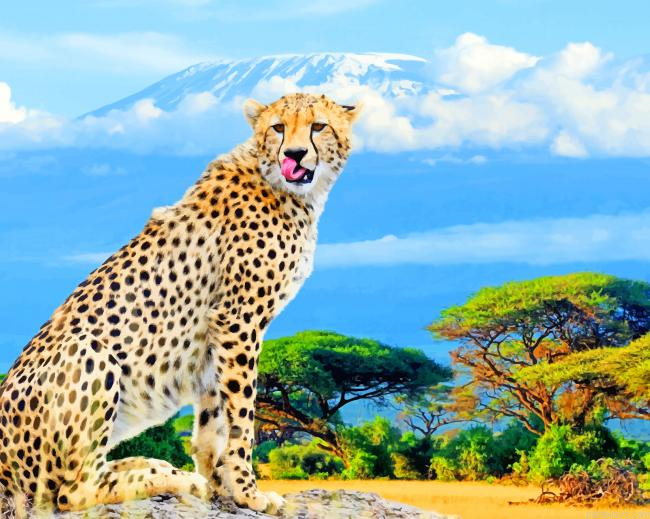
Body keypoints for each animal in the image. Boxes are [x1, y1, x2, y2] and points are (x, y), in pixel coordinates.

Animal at [0, 92, 359, 515]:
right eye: (278, 128)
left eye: (318, 126)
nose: (295, 153)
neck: (285, 187)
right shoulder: (238, 321)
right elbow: (241, 417)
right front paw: (248, 493)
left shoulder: (218, 336)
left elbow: (212, 423)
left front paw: (221, 487)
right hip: (91, 352)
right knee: (70, 491)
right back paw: (168, 477)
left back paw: (154, 466)